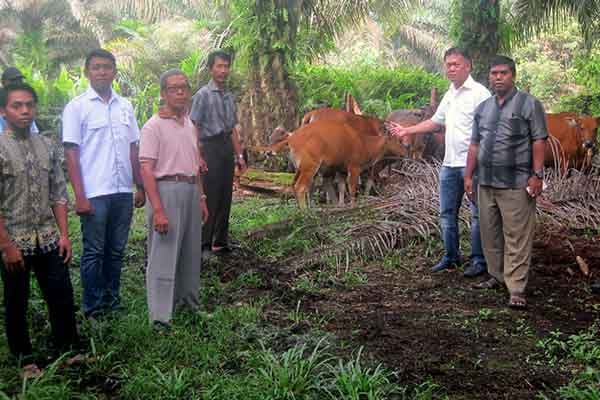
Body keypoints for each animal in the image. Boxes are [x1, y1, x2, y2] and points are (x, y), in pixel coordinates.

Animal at [266, 119, 408, 209]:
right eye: (397, 140)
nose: (405, 150)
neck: (365, 145)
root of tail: (290, 140)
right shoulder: (354, 166)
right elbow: (352, 188)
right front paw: (353, 206)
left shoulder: (341, 169)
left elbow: (341, 187)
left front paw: (340, 205)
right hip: (310, 165)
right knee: (301, 186)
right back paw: (305, 212)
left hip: (299, 167)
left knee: (293, 184)